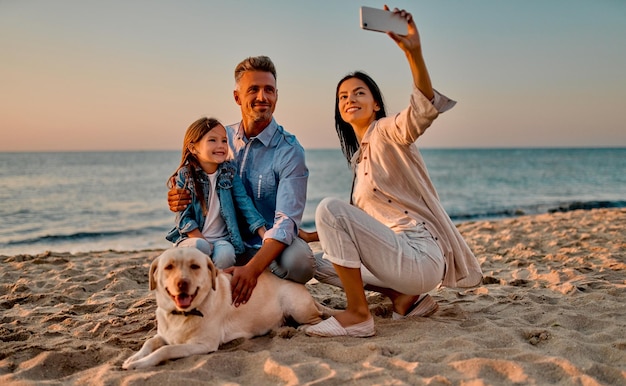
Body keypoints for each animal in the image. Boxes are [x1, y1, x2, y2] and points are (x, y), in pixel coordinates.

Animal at [123, 249, 324, 370]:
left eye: (195, 266)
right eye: (169, 267)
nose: (182, 283)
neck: (181, 314)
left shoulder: (203, 344)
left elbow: (165, 350)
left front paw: (140, 363)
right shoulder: (163, 335)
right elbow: (149, 343)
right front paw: (133, 358)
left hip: (296, 305)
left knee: (318, 318)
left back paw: (306, 327)